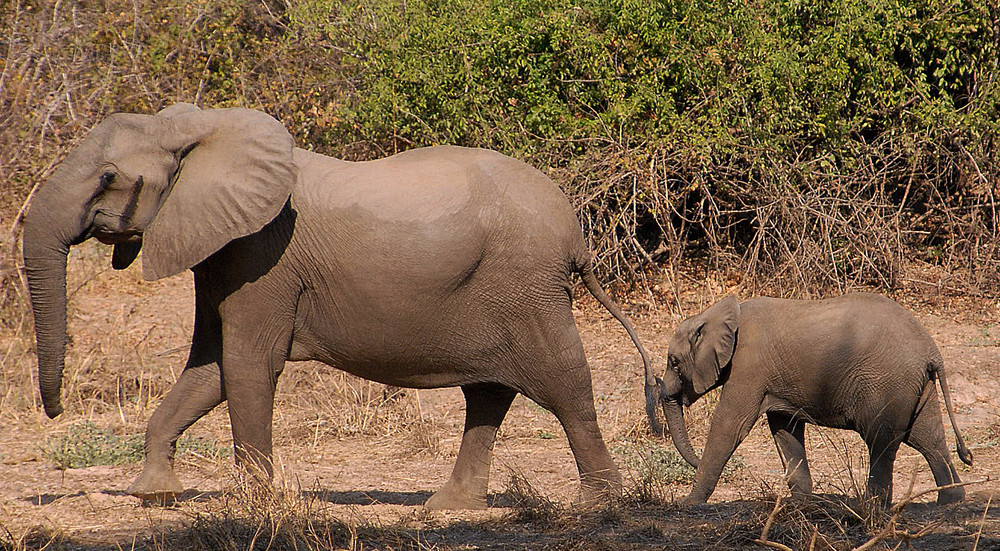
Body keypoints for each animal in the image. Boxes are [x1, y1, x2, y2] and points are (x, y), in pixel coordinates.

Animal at [23, 102, 652, 508]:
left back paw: (598, 504)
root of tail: (575, 234)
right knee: (488, 391)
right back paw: (449, 506)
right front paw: (155, 493)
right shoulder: (222, 253)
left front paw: (253, 501)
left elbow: (246, 365)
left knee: (565, 384)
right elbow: (210, 369)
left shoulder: (261, 256)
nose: (54, 412)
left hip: (527, 286)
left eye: (108, 178)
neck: (201, 131)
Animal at [652, 294, 972, 508]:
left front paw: (688, 504)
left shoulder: (748, 367)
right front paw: (803, 504)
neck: (720, 313)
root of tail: (932, 350)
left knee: (881, 440)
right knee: (926, 437)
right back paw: (950, 500)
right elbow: (785, 429)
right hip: (917, 385)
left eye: (674, 362)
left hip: (888, 382)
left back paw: (869, 507)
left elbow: (730, 424)